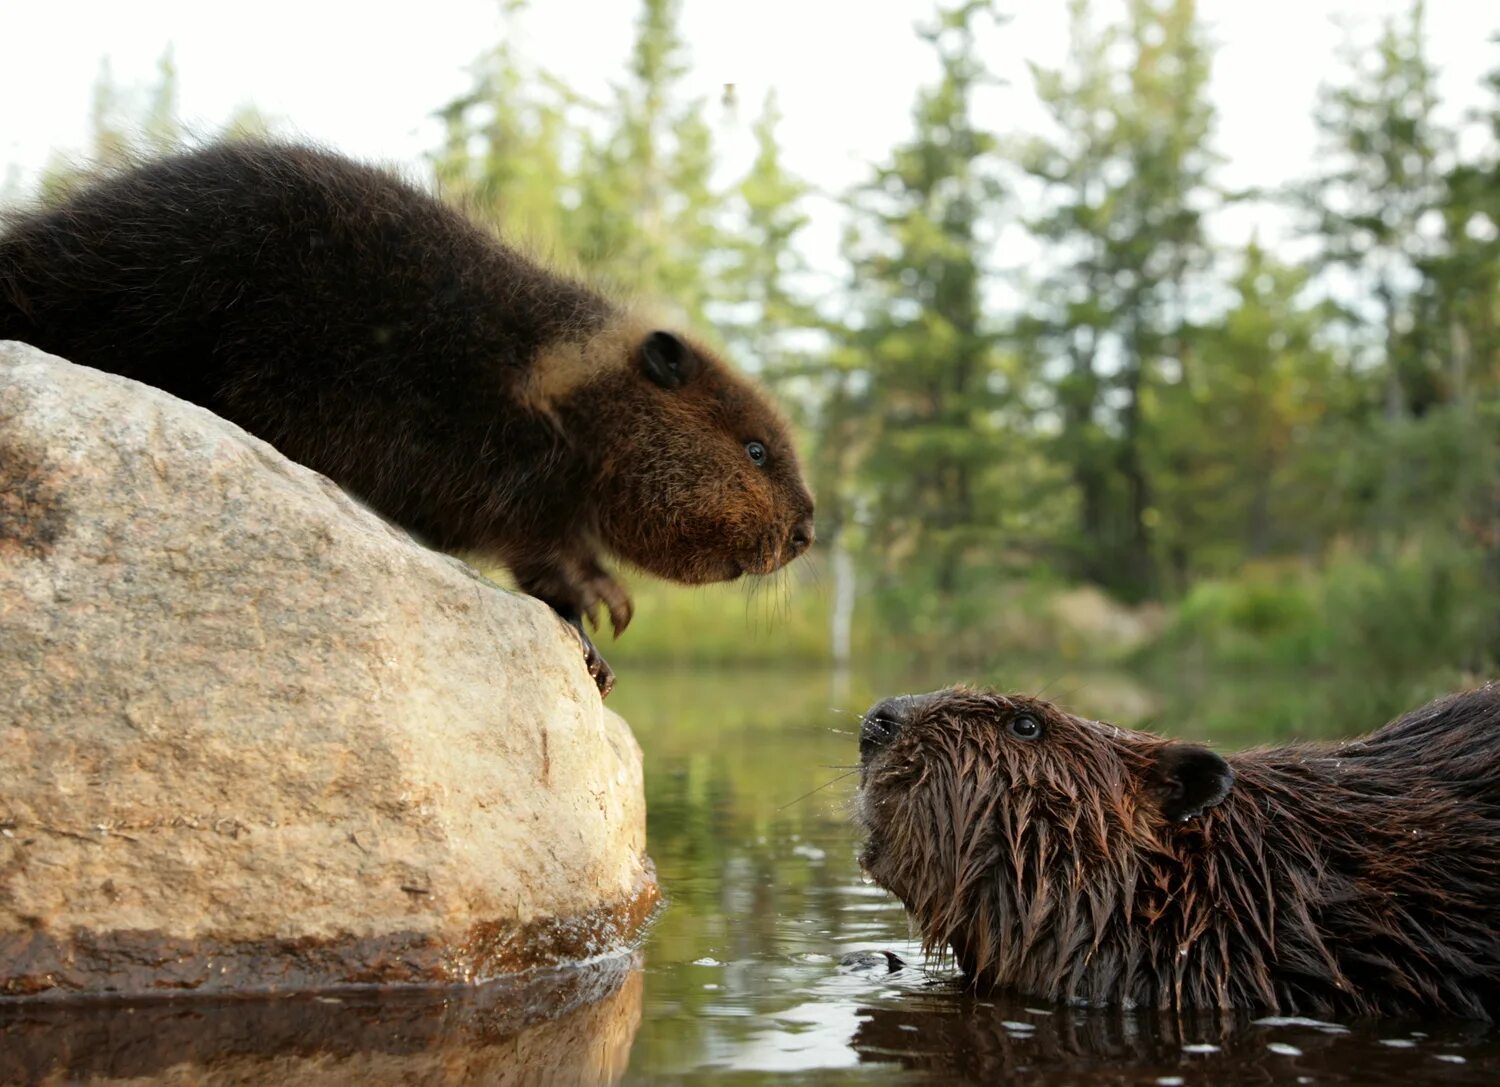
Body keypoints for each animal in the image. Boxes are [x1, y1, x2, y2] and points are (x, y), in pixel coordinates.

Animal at [0, 141, 816, 695]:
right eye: (755, 451)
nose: (807, 531)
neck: (560, 376)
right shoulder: (511, 457)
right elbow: (541, 549)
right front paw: (604, 610)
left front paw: (603, 640)